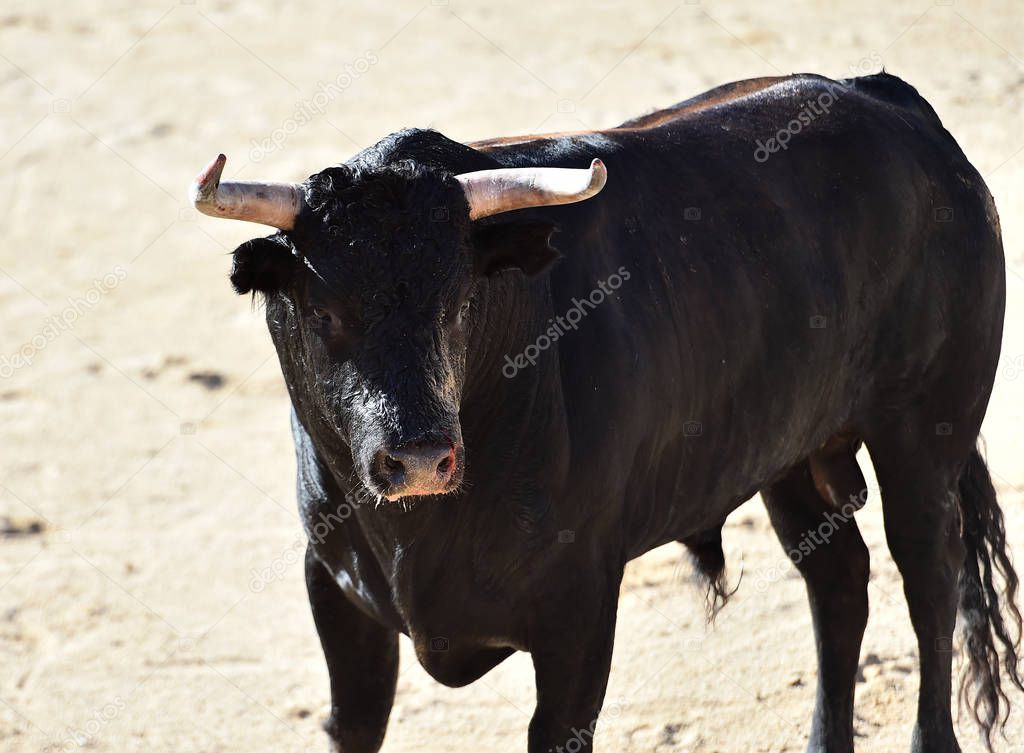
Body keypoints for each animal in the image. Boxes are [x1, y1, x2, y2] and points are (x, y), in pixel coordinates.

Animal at [220, 73, 1019, 749]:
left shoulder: (578, 604)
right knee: (839, 579)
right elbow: (354, 721)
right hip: (788, 451)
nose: (417, 458)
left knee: (929, 575)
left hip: (924, 434)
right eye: (322, 310)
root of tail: (896, 103)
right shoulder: (333, 585)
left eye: (462, 301)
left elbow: (557, 730)